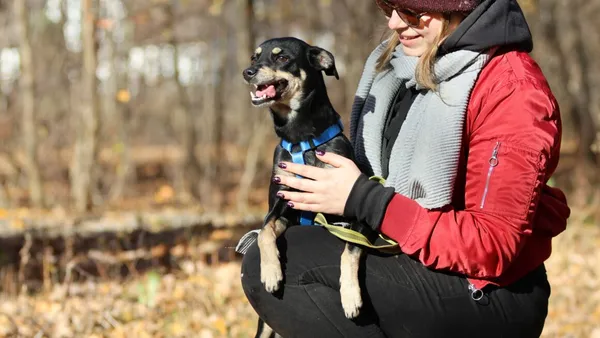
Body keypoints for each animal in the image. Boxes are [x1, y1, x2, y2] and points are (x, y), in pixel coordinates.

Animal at [241, 37, 378, 338]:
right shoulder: (283, 206)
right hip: (265, 327)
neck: (300, 139)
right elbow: (264, 232)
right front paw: (271, 271)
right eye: (255, 57)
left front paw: (351, 296)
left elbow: (349, 250)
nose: (247, 72)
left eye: (282, 58)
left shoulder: (356, 216)